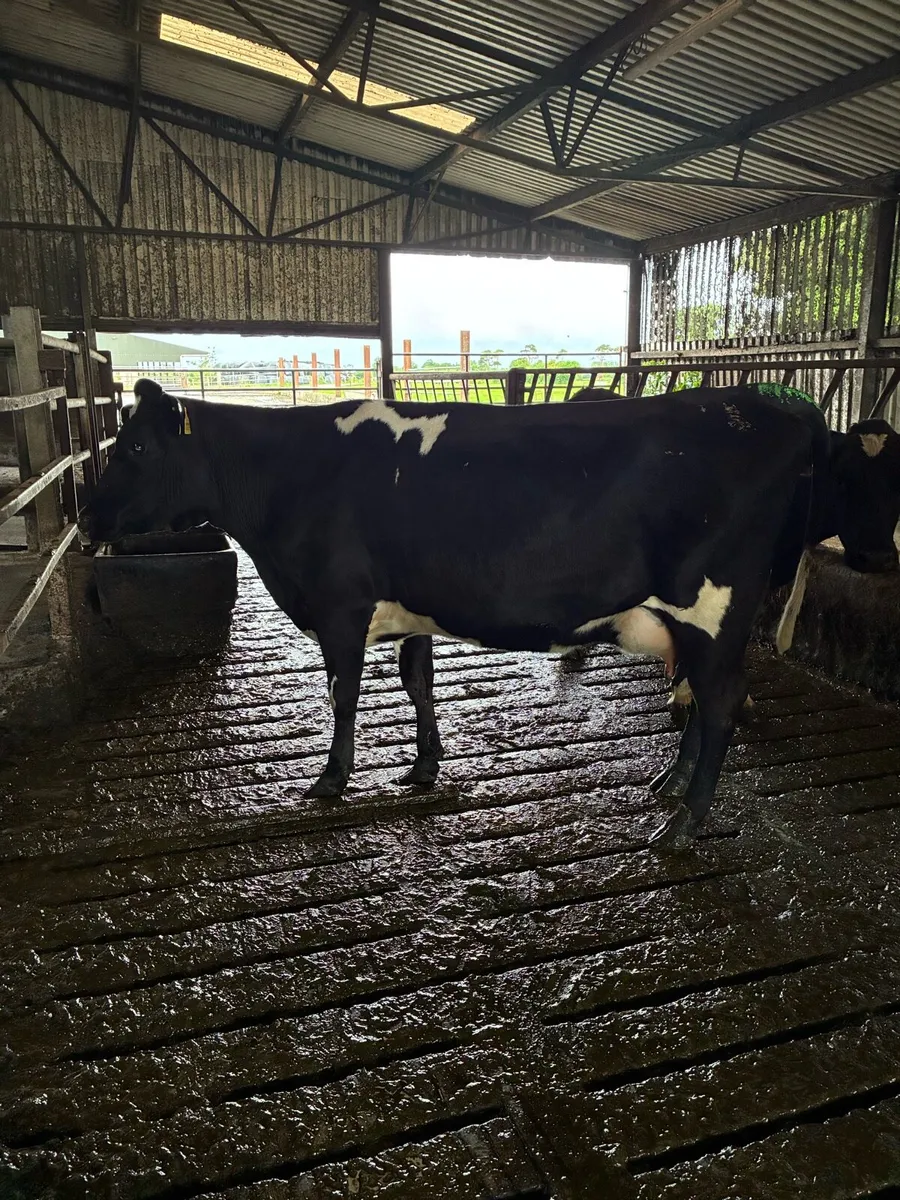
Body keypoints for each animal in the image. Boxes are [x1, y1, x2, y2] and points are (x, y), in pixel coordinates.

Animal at [78, 378, 823, 845]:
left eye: (136, 447)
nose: (86, 517)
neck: (292, 474)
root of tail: (766, 410)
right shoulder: (411, 609)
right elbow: (418, 684)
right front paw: (425, 766)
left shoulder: (340, 605)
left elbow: (343, 694)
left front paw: (330, 780)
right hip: (694, 622)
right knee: (699, 693)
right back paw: (669, 784)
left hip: (713, 606)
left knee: (721, 701)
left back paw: (685, 824)